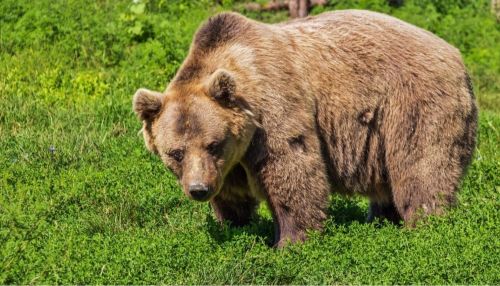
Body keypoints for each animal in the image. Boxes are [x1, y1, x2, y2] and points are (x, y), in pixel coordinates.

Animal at [132, 8, 476, 246]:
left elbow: (292, 170)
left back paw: (425, 224)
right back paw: (382, 220)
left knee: (421, 168)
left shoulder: (274, 110)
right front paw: (234, 225)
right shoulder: (229, 163)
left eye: (213, 144)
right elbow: (231, 194)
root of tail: (457, 56)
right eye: (175, 152)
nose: (198, 189)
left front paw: (290, 241)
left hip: (413, 104)